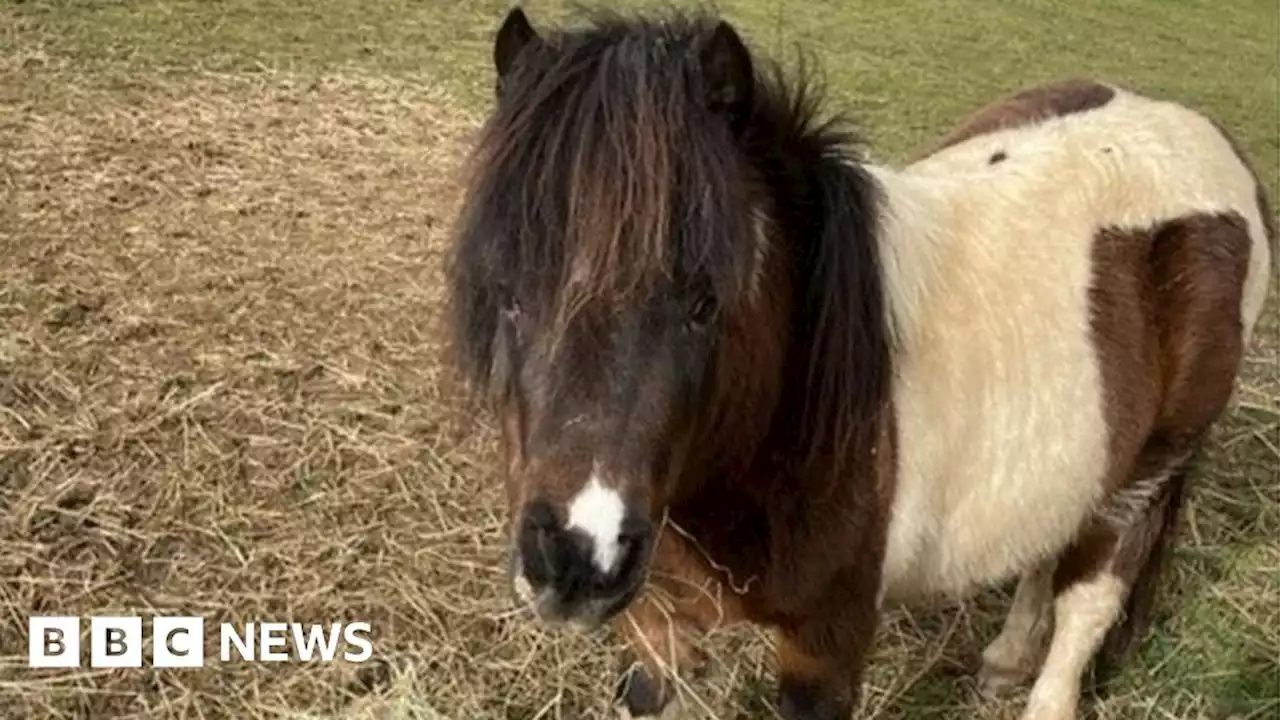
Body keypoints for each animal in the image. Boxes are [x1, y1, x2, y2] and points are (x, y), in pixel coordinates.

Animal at [445, 7, 1274, 717]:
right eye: (508, 294)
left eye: (705, 303)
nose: (576, 559)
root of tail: (1213, 142)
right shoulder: (661, 625)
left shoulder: (827, 646)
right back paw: (1004, 662)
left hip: (1148, 471)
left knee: (1088, 601)